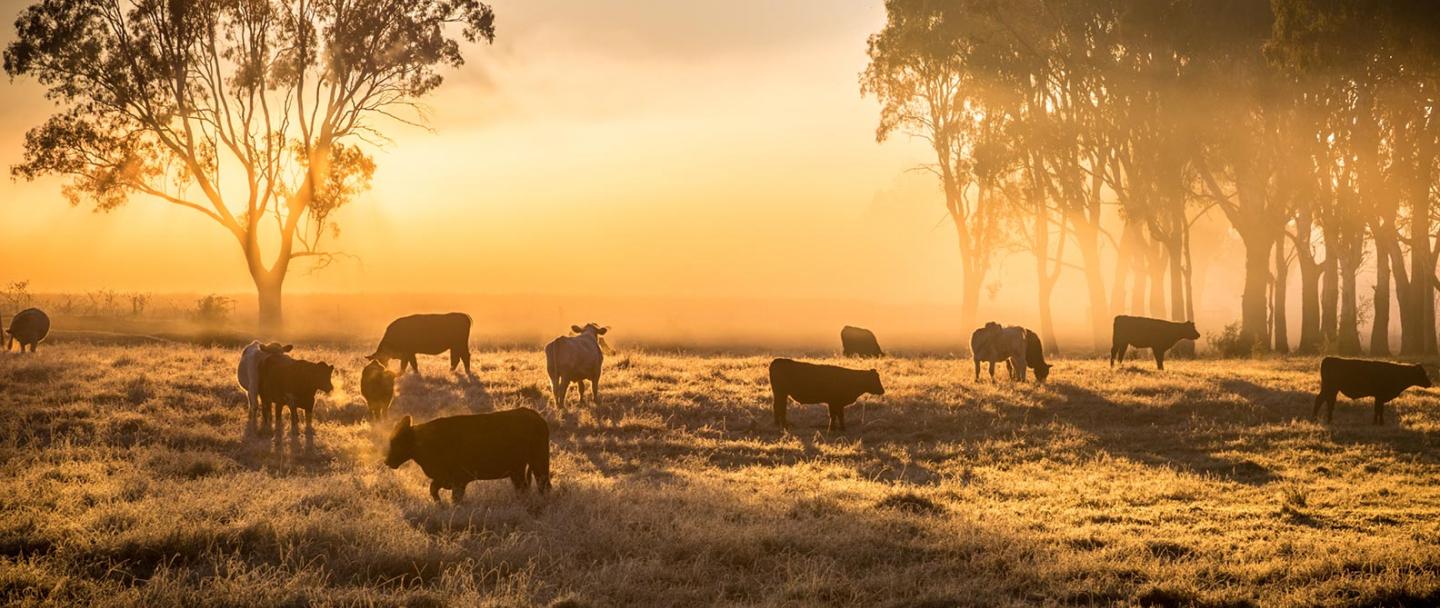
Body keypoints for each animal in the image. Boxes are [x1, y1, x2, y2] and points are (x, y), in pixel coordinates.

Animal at [383, 406, 550, 501]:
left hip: (539, 462)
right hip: (517, 470)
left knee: (543, 485)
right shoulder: (442, 479)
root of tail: (536, 417)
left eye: (397, 441)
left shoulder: (459, 480)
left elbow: (454, 498)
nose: (387, 461)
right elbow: (433, 490)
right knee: (523, 488)